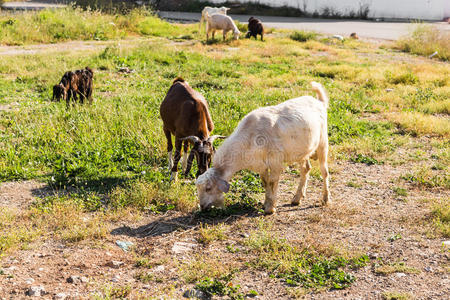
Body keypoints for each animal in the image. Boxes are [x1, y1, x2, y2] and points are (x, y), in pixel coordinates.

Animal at [195, 81, 328, 214]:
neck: (250, 137)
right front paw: (266, 203)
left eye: (208, 188)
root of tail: (319, 102)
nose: (202, 207)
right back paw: (297, 198)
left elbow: (272, 182)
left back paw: (325, 199)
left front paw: (270, 208)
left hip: (323, 142)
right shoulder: (260, 164)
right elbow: (265, 182)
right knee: (306, 169)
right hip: (302, 151)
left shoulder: (275, 161)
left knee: (324, 171)